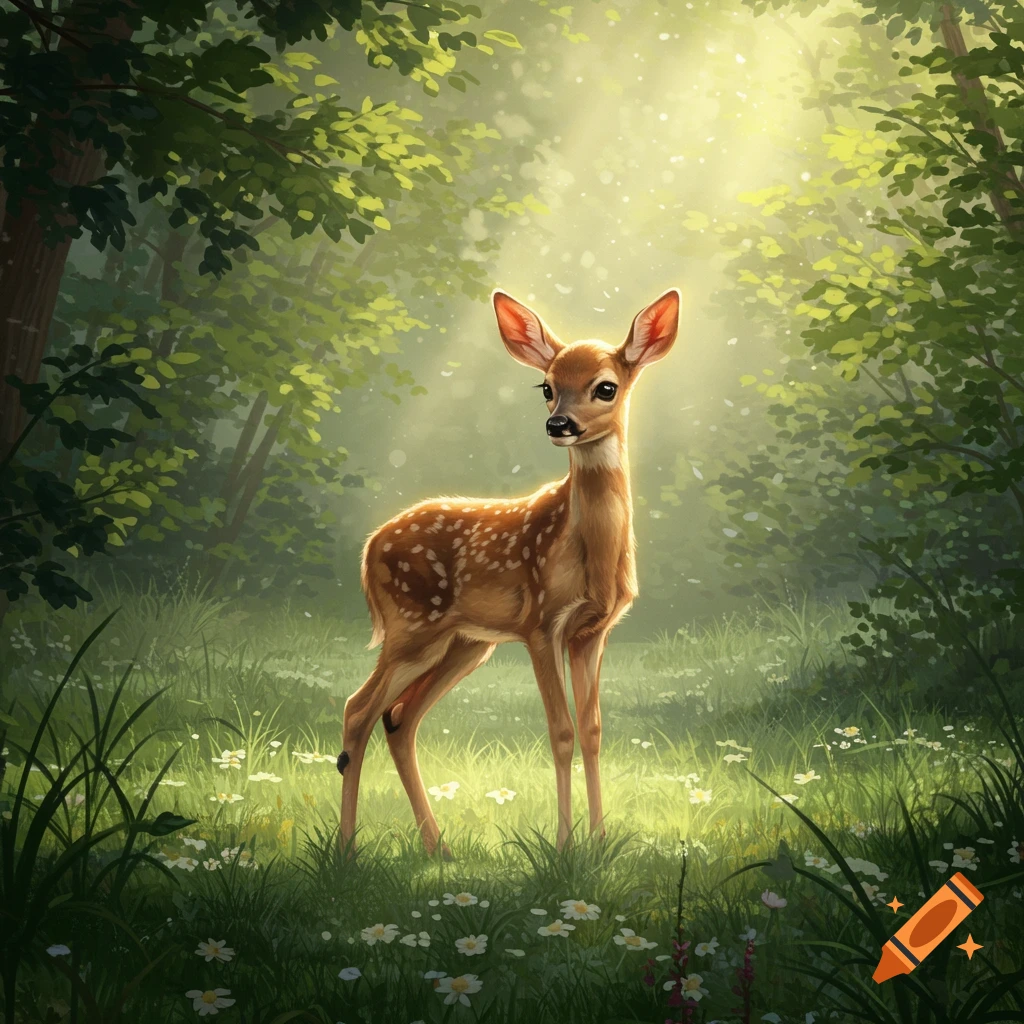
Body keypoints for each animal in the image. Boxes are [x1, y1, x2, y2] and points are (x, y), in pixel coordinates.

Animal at [336, 287, 681, 858]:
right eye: (547, 387)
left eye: (605, 387)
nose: (558, 425)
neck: (589, 554)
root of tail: (367, 550)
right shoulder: (541, 623)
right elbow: (560, 732)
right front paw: (564, 847)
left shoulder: (593, 631)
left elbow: (592, 731)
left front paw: (600, 843)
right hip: (413, 628)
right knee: (358, 709)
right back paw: (346, 850)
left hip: (465, 645)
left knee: (399, 718)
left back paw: (438, 847)